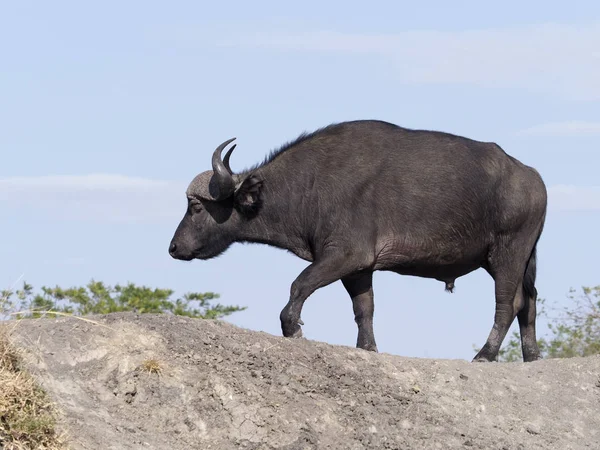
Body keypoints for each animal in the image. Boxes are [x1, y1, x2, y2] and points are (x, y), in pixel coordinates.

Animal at [170, 119, 548, 362]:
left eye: (196, 206)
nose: (173, 247)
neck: (308, 185)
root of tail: (532, 178)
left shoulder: (344, 255)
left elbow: (299, 285)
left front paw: (292, 328)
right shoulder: (359, 269)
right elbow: (364, 309)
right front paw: (367, 348)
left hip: (507, 254)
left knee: (508, 303)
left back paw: (485, 354)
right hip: (521, 258)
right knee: (528, 302)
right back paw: (531, 357)